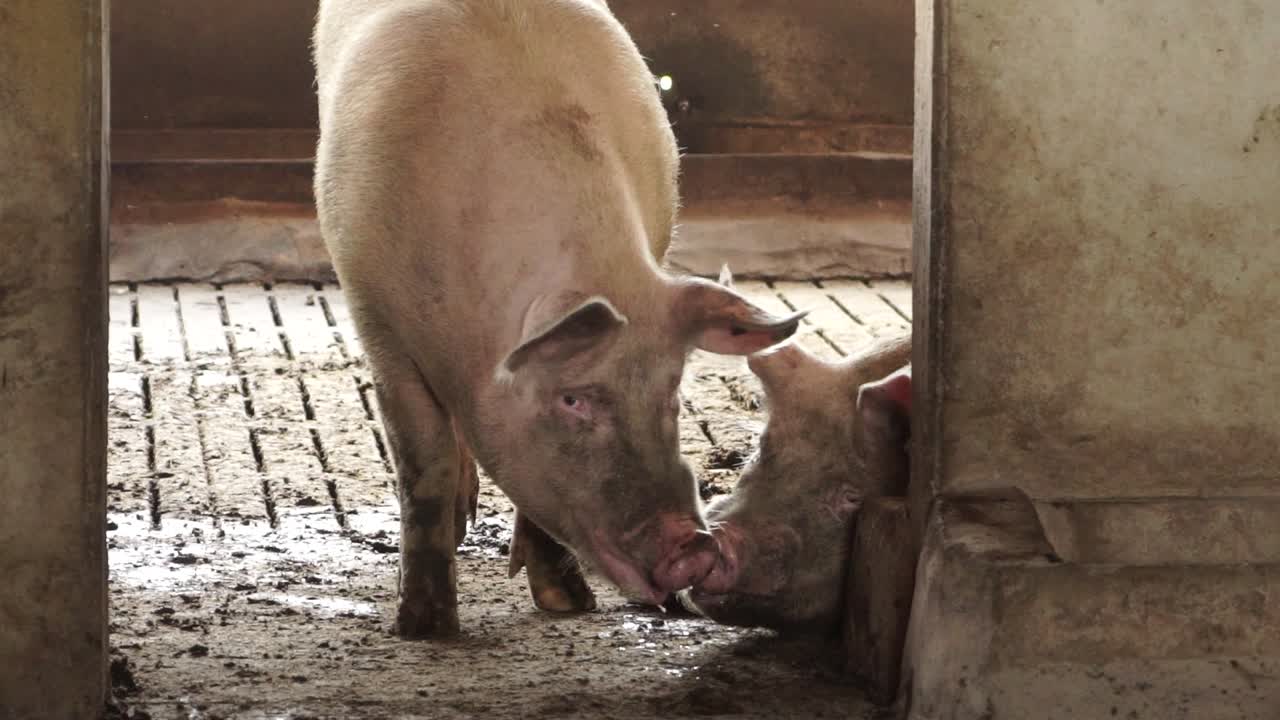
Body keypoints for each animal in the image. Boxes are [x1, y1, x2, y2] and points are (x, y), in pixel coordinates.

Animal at [312, 0, 804, 638]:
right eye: (571, 399)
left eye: (671, 394)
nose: (694, 546)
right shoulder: (379, 319)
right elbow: (425, 465)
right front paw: (425, 627)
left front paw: (569, 603)